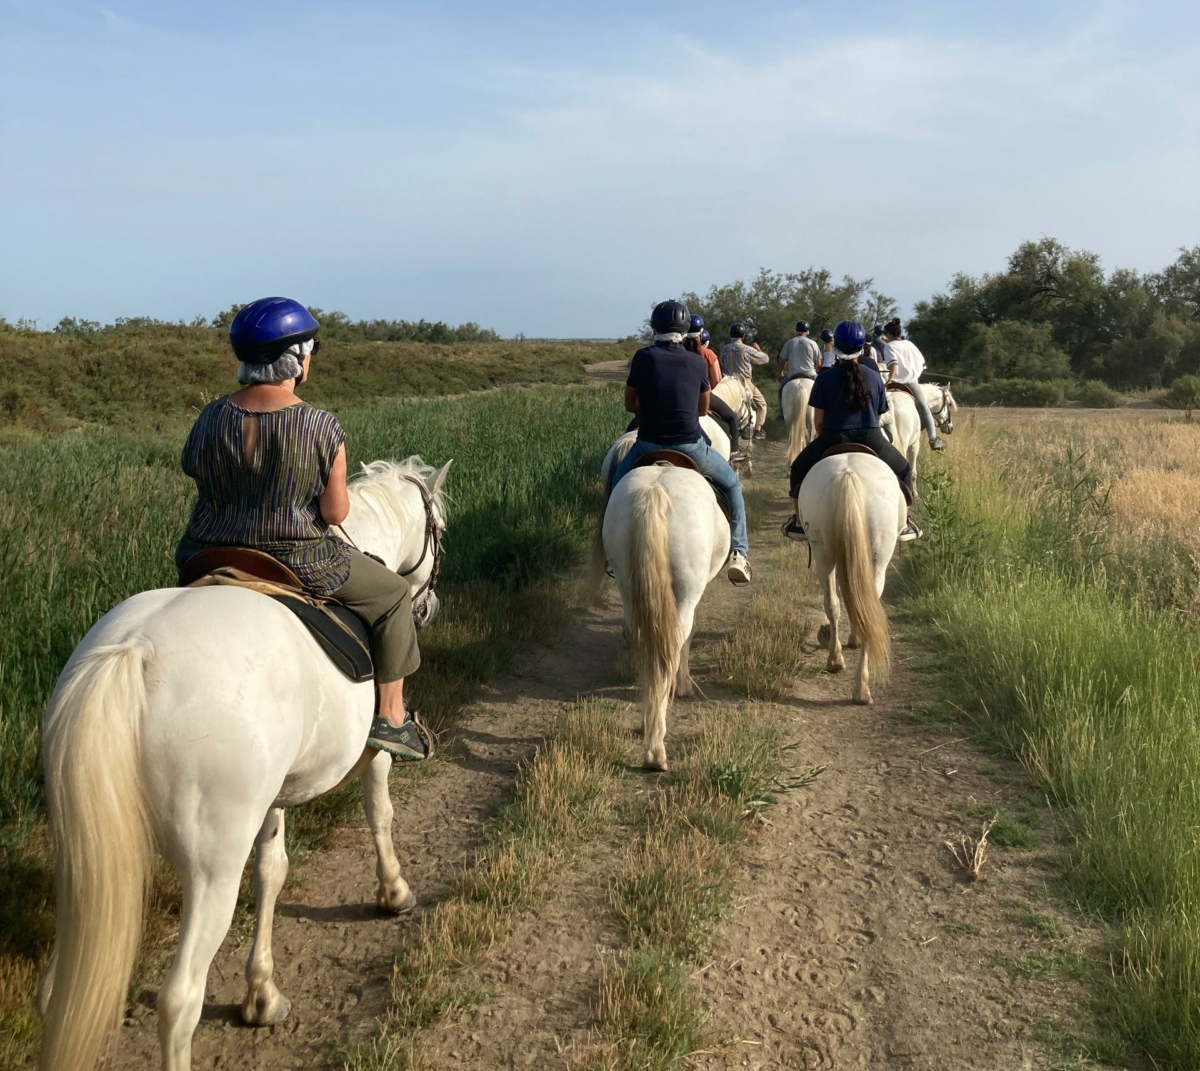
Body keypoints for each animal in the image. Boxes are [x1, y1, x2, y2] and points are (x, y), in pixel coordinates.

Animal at [38, 456, 451, 1071]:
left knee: (54, 990)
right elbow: (380, 813)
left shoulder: (274, 795)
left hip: (86, 860)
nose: (426, 607)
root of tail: (135, 651)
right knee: (180, 998)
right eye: (439, 531)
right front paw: (394, 893)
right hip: (211, 865)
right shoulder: (374, 750)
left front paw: (262, 994)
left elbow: (272, 871)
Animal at [796, 449, 902, 701]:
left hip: (824, 554)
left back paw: (839, 665)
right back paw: (858, 684)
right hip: (876, 559)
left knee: (834, 603)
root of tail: (848, 474)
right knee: (864, 606)